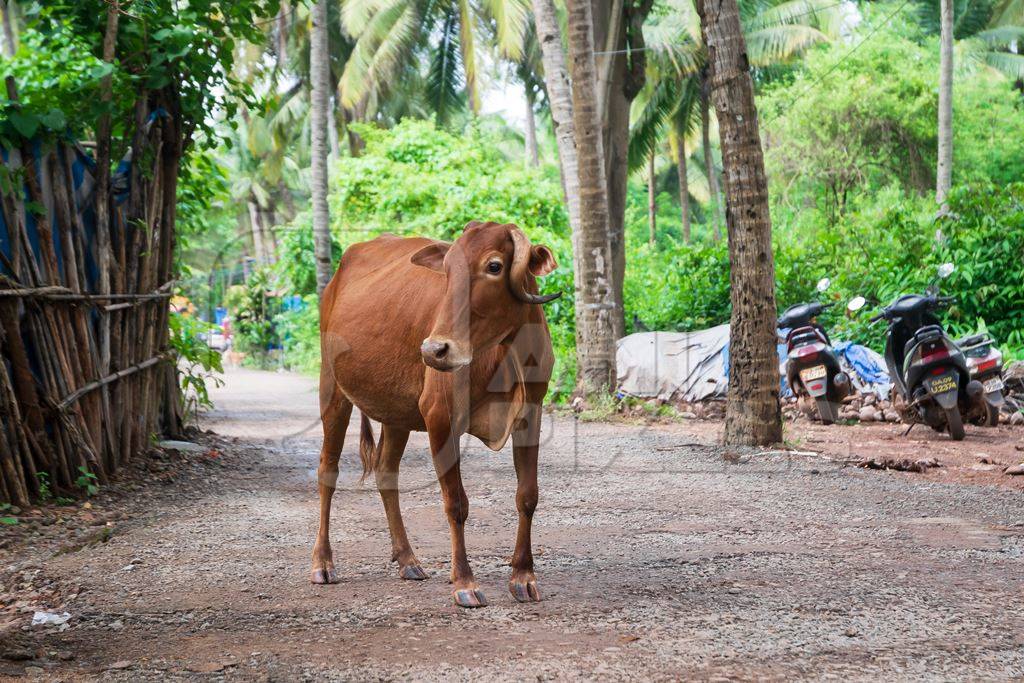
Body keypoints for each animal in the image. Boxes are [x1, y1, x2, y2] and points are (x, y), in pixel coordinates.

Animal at [309, 220, 561, 610]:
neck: (506, 353)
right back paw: (323, 563)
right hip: (332, 389)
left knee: (386, 472)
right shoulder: (441, 418)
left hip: (395, 413)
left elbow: (527, 495)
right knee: (328, 471)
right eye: (447, 270)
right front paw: (465, 582)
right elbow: (456, 503)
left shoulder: (530, 416)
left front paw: (523, 576)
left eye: (494, 266)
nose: (434, 350)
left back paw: (407, 560)